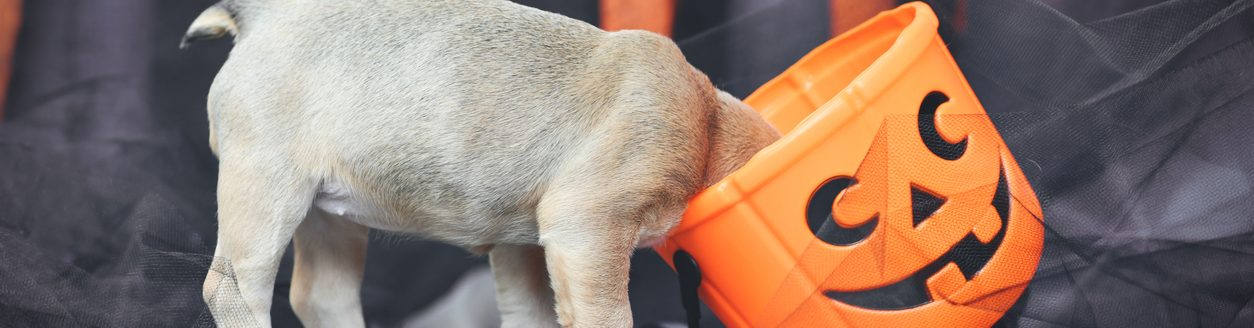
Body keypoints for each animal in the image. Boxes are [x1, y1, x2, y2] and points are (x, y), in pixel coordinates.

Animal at [183, 1, 782, 325]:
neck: (707, 121)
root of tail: (263, 17)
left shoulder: (523, 251)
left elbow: (529, 311)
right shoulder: (590, 229)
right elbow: (608, 313)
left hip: (327, 216)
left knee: (321, 296)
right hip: (267, 188)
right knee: (237, 287)